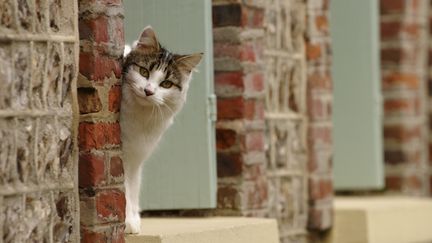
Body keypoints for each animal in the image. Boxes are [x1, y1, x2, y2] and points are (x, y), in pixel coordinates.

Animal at [120, 26, 203, 234]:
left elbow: (132, 189)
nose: (148, 91)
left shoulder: (135, 158)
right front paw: (127, 222)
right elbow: (124, 189)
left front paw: (133, 219)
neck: (141, 118)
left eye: (166, 84)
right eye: (143, 71)